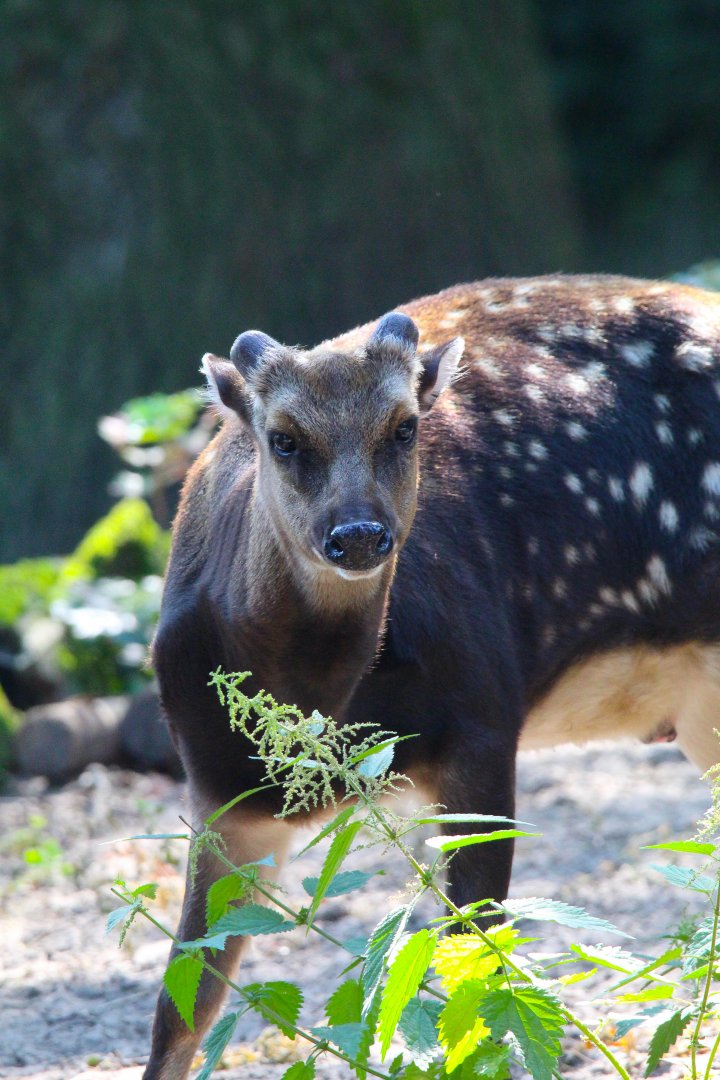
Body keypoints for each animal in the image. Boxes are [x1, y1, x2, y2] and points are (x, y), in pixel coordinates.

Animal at [145, 274, 720, 1078]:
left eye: (406, 427)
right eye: (282, 437)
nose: (358, 535)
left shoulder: (482, 718)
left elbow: (475, 964)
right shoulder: (220, 796)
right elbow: (180, 1012)